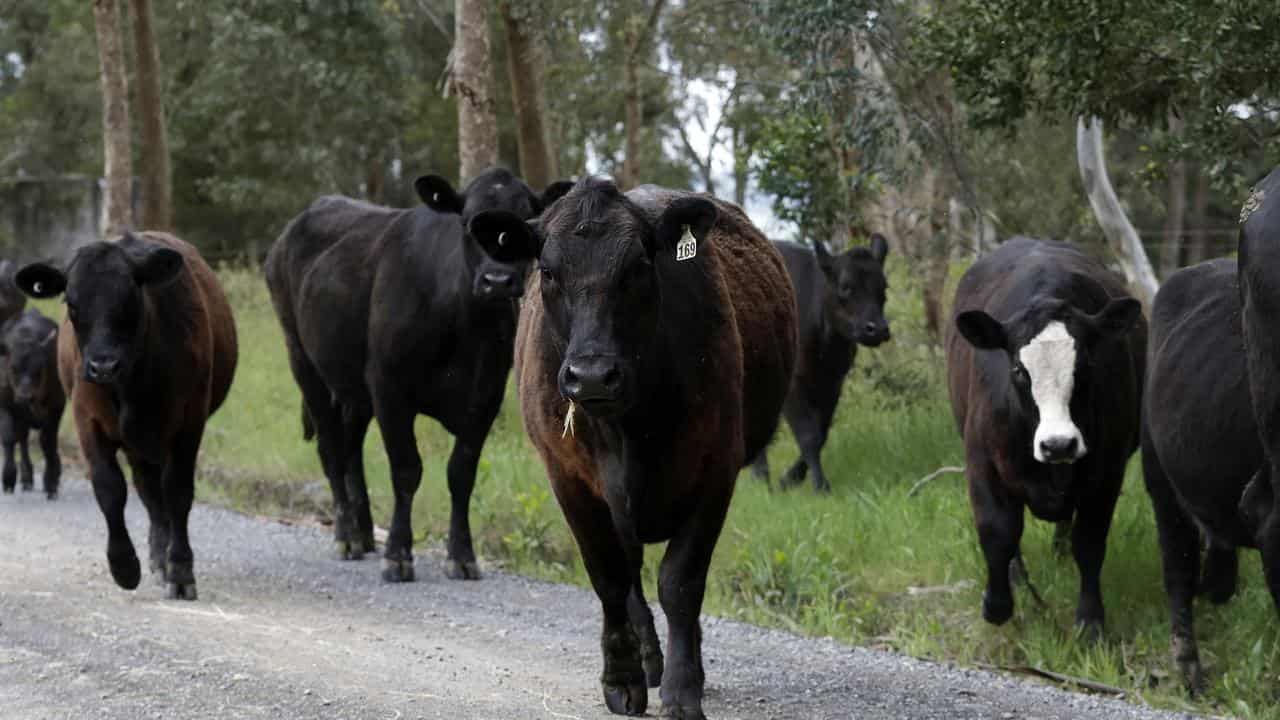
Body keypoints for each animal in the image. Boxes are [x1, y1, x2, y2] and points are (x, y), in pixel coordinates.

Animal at [0, 304, 64, 497]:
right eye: (13, 368)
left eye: (39, 369)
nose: (25, 396)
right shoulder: (5, 404)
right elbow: (8, 438)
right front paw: (8, 478)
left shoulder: (56, 406)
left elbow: (48, 442)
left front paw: (51, 481)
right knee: (22, 440)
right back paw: (26, 476)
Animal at [264, 165, 570, 579]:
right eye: (469, 222)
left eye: (523, 221)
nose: (498, 281)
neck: (463, 328)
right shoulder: (389, 388)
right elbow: (407, 470)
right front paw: (398, 554)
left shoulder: (485, 397)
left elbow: (461, 474)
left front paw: (462, 555)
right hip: (303, 361)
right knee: (331, 449)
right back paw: (346, 536)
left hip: (352, 387)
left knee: (351, 449)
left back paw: (364, 534)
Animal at [747, 238, 890, 489]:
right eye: (845, 287)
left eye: (884, 287)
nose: (878, 328)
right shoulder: (794, 384)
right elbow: (808, 435)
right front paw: (820, 485)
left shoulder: (833, 383)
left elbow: (822, 432)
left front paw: (790, 479)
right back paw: (760, 474)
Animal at [947, 235, 1146, 632]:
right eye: (1018, 370)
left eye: (1085, 366)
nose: (1058, 445)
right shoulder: (981, 460)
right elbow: (998, 531)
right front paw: (997, 604)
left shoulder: (1108, 471)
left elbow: (1089, 543)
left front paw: (1090, 620)